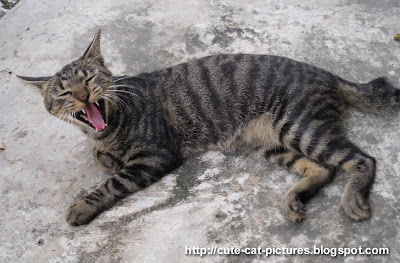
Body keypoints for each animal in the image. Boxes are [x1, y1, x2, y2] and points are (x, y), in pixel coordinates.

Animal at [16, 29, 400, 227]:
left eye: (89, 78)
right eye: (64, 93)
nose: (83, 96)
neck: (110, 122)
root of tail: (327, 73)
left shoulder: (155, 157)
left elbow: (112, 182)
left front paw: (82, 205)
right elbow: (102, 158)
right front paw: (103, 156)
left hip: (301, 126)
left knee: (363, 160)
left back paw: (353, 199)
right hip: (274, 142)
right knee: (322, 169)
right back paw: (293, 199)